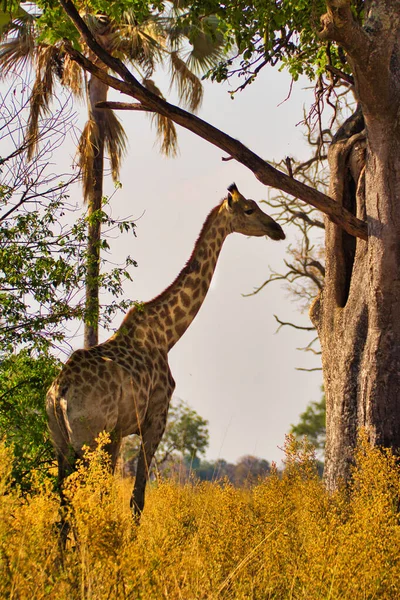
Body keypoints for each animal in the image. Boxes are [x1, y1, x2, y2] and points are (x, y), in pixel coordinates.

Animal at [46, 183, 284, 516]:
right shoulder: (155, 419)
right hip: (88, 438)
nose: (278, 229)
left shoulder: (118, 433)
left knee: (63, 503)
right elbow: (137, 498)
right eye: (249, 209)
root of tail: (60, 392)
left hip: (61, 441)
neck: (167, 335)